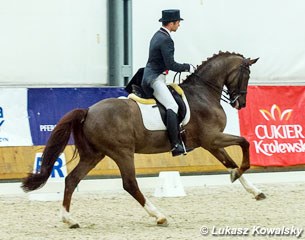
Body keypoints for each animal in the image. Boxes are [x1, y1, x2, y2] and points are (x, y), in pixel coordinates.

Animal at [21, 51, 264, 228]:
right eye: (246, 75)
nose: (240, 103)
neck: (202, 94)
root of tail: (88, 111)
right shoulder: (212, 139)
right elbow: (244, 142)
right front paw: (238, 174)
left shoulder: (210, 143)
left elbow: (229, 162)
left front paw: (254, 190)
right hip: (122, 152)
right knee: (129, 184)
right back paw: (159, 215)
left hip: (94, 155)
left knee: (72, 180)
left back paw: (69, 219)